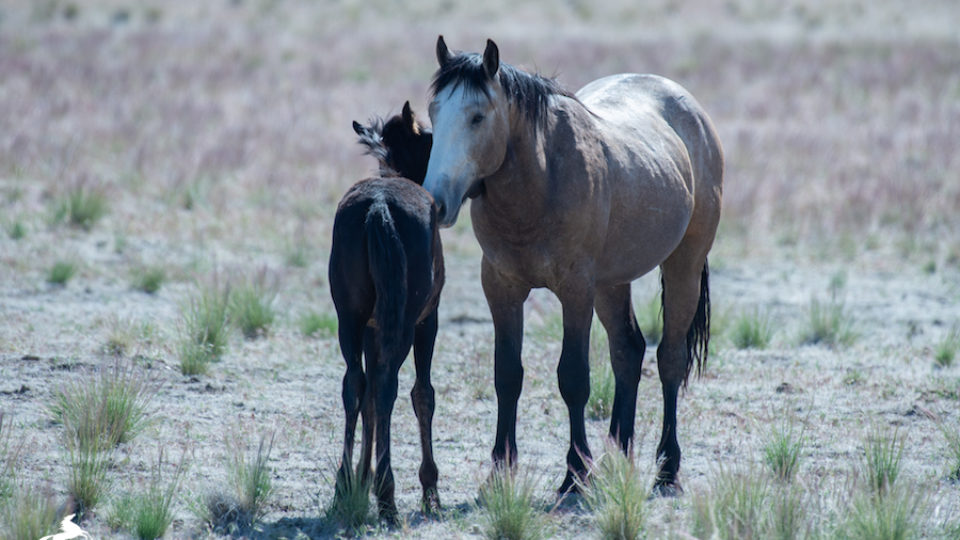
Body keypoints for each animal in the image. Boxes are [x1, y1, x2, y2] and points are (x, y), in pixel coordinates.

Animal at [330, 101, 443, 521]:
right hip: (406, 320)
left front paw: (360, 479)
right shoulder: (428, 320)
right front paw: (430, 489)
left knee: (356, 384)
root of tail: (379, 207)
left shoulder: (371, 327)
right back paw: (387, 493)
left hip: (348, 317)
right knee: (388, 385)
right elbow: (423, 394)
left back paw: (344, 486)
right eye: (432, 138)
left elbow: (367, 401)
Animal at [422, 37, 723, 496]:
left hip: (682, 267)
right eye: (434, 112)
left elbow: (573, 378)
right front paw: (499, 471)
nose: (436, 202)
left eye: (476, 116)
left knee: (670, 359)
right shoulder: (501, 288)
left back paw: (667, 468)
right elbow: (507, 375)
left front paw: (575, 474)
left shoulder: (575, 290)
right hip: (612, 283)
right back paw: (618, 457)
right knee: (628, 351)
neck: (541, 181)